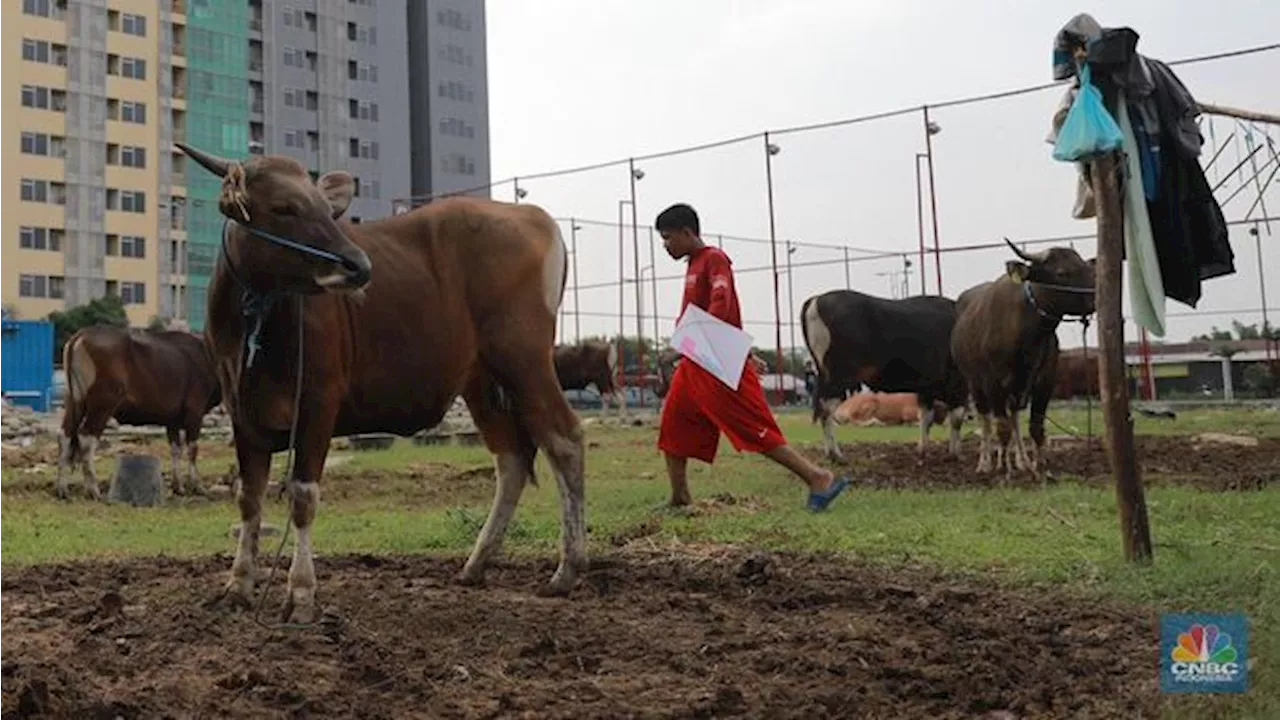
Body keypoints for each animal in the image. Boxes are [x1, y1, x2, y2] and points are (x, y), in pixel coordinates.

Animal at [55, 325, 222, 499]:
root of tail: (81, 335)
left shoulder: (172, 420)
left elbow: (175, 449)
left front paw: (178, 487)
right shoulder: (195, 412)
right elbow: (192, 449)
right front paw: (198, 486)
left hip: (74, 401)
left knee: (65, 435)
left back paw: (62, 489)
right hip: (103, 404)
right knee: (86, 438)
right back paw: (93, 490)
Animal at [175, 142, 586, 620]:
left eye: (325, 209)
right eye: (283, 207)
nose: (357, 265)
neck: (254, 323)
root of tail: (536, 218)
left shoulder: (318, 403)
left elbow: (302, 497)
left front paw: (301, 592)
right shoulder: (241, 411)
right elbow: (249, 499)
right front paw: (238, 585)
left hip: (524, 361)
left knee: (564, 440)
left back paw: (568, 569)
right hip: (481, 379)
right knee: (513, 458)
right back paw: (476, 564)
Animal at [952, 238, 1100, 479]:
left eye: (1087, 267)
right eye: (1061, 272)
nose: (1096, 296)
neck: (1029, 333)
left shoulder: (1044, 382)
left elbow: (1035, 428)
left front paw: (1039, 468)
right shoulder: (993, 383)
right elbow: (1001, 428)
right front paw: (1005, 470)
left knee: (1014, 417)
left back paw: (1022, 461)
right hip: (974, 382)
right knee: (986, 421)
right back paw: (985, 462)